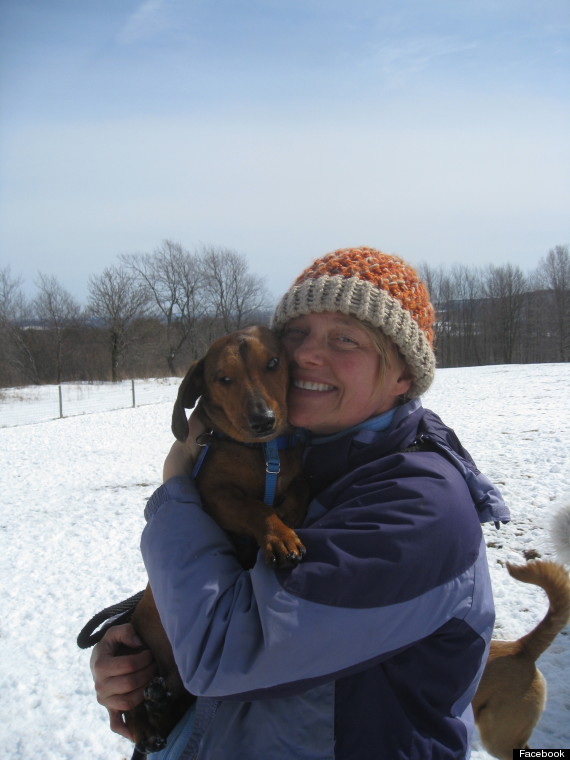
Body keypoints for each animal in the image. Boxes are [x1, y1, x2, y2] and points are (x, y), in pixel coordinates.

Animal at [123, 326, 308, 756]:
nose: (263, 420)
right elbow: (256, 508)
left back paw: (161, 699)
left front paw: (289, 515)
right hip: (131, 644)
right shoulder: (215, 495)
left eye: (273, 362)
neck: (264, 453)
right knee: (131, 707)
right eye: (223, 378)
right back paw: (148, 726)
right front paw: (278, 536)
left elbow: (300, 488)